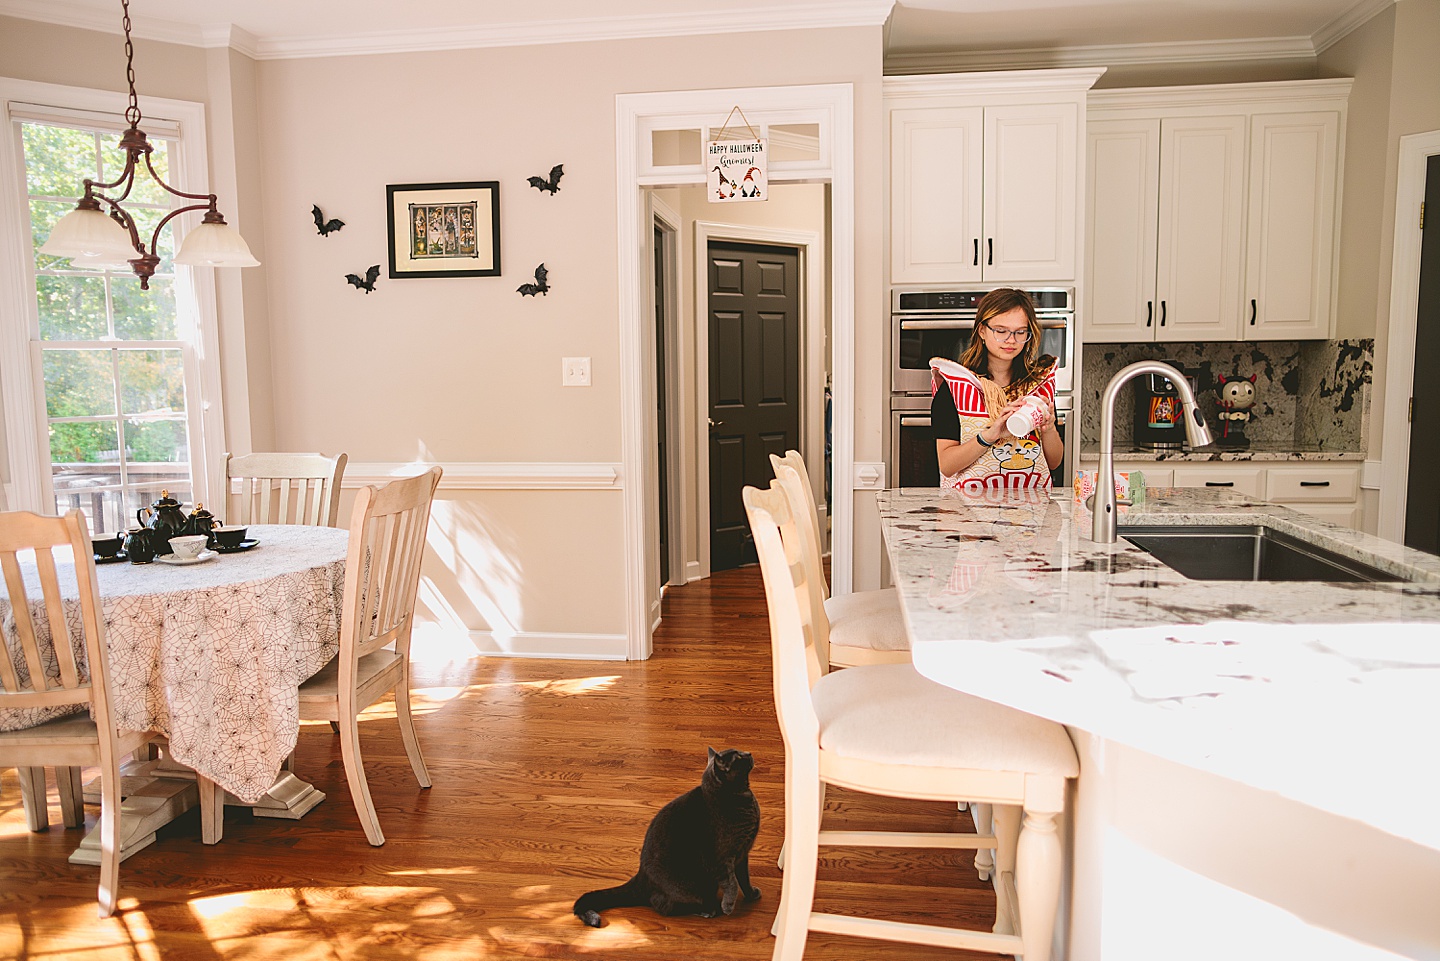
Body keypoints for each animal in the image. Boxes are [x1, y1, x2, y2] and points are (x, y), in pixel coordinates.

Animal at [570, 749, 760, 927]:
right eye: (738, 757)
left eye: (741, 752)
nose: (749, 753)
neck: (744, 798)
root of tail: (640, 877)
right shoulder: (721, 858)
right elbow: (732, 883)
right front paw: (728, 905)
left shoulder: (743, 853)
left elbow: (744, 878)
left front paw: (751, 895)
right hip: (688, 888)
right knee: (662, 905)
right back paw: (708, 910)